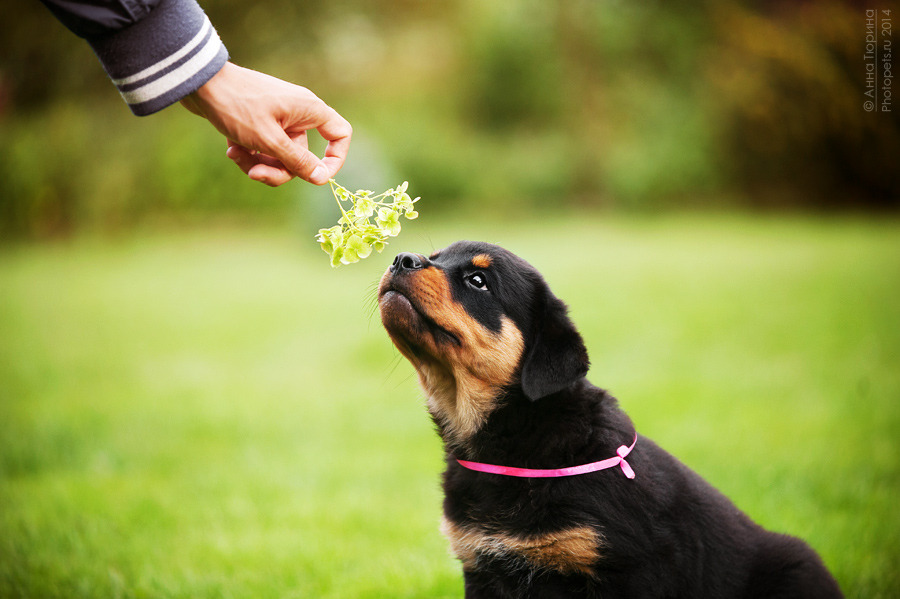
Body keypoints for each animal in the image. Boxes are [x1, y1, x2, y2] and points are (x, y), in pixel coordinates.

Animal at [378, 243, 844, 599]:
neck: (514, 447)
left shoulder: (629, 571)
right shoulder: (482, 568)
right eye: (435, 256)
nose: (402, 258)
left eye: (478, 281)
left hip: (795, 567)